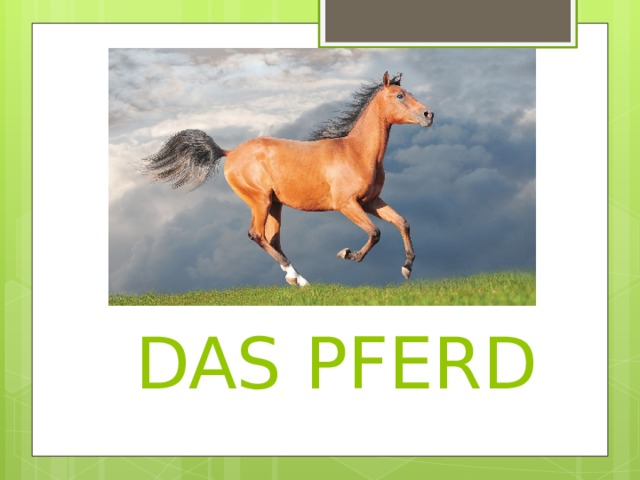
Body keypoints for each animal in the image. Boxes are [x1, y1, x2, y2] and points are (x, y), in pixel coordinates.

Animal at [142, 71, 434, 286]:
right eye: (400, 95)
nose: (428, 115)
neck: (357, 152)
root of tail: (229, 152)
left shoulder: (371, 201)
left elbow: (402, 223)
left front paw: (407, 268)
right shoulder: (347, 205)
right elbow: (375, 232)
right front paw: (349, 254)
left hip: (274, 204)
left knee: (272, 239)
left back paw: (296, 279)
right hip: (260, 201)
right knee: (256, 235)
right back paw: (298, 278)